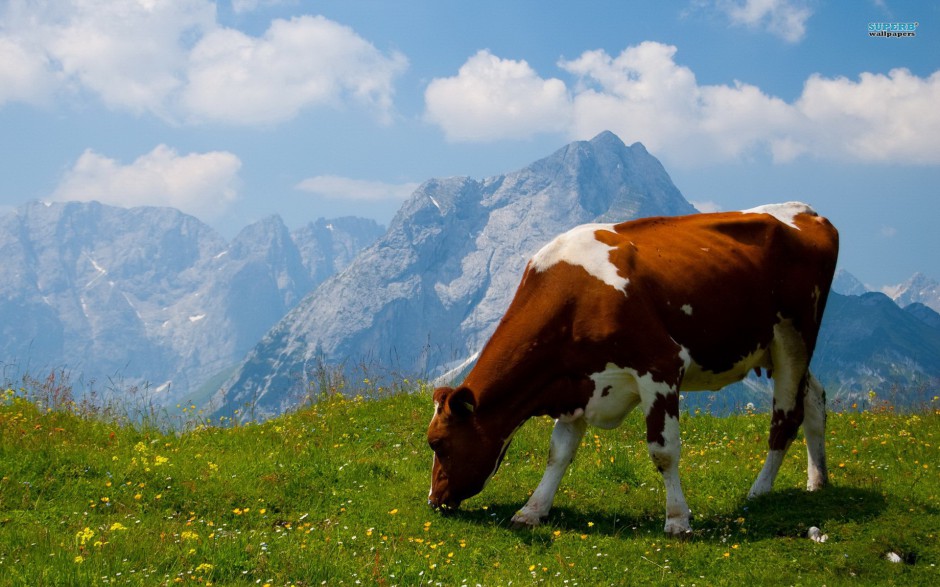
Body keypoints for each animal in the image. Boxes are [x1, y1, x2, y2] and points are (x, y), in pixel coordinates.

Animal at [426, 203, 836, 536]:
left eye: (437, 443)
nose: (433, 500)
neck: (574, 296)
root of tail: (808, 211)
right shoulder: (577, 383)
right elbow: (558, 452)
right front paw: (532, 510)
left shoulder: (661, 366)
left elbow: (663, 450)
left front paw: (677, 520)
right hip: (773, 350)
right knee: (815, 398)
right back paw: (818, 480)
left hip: (794, 338)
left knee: (786, 418)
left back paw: (759, 490)